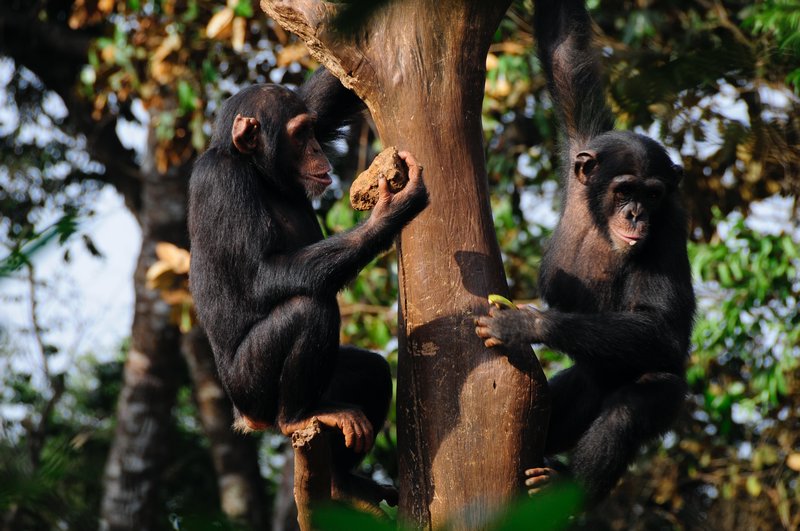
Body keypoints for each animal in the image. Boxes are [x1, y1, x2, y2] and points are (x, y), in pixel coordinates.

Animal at [188, 68, 428, 504]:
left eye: (312, 130)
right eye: (299, 135)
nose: (316, 146)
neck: (256, 170)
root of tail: (245, 418)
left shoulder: (319, 108)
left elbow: (330, 92)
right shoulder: (221, 181)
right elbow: (262, 275)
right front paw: (391, 212)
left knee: (372, 369)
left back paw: (344, 479)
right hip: (253, 389)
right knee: (308, 308)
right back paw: (297, 417)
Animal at [476, 0, 692, 508]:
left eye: (653, 195)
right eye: (626, 189)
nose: (636, 214)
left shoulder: (668, 231)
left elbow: (661, 326)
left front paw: (526, 324)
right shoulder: (584, 140)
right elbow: (565, 52)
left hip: (663, 395)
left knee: (633, 406)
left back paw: (566, 489)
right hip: (581, 385)